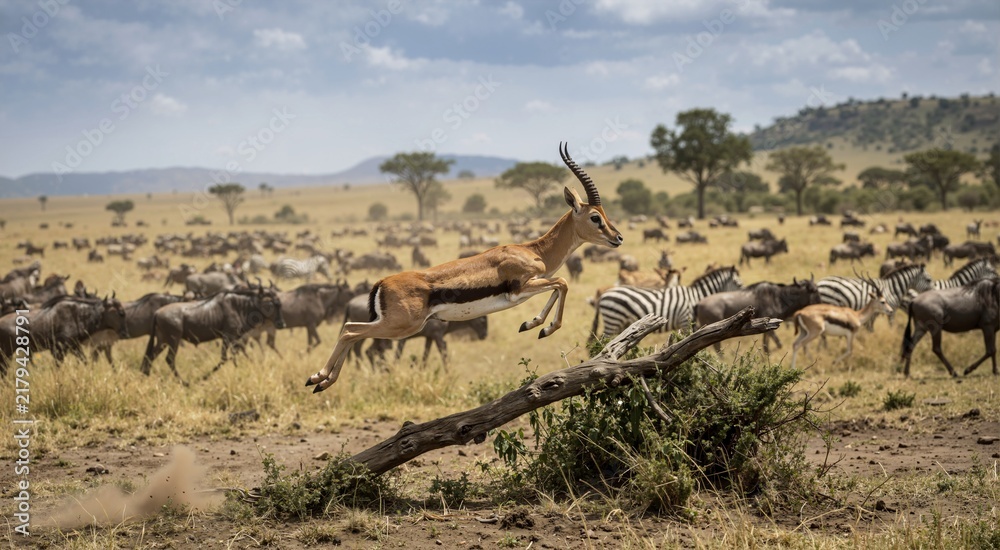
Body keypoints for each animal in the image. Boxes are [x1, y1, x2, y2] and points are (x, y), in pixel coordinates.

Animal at [305, 143, 623, 392]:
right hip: (400, 326)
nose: (617, 237)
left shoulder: (531, 287)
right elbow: (563, 284)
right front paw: (542, 328)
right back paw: (318, 377)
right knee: (350, 331)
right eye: (595, 217)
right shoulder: (522, 288)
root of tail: (381, 282)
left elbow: (557, 287)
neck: (534, 250)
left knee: (350, 329)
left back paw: (322, 381)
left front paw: (532, 324)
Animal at [591, 266, 743, 340]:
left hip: (619, 323)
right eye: (738, 283)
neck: (695, 296)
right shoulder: (685, 321)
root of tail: (603, 295)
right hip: (613, 320)